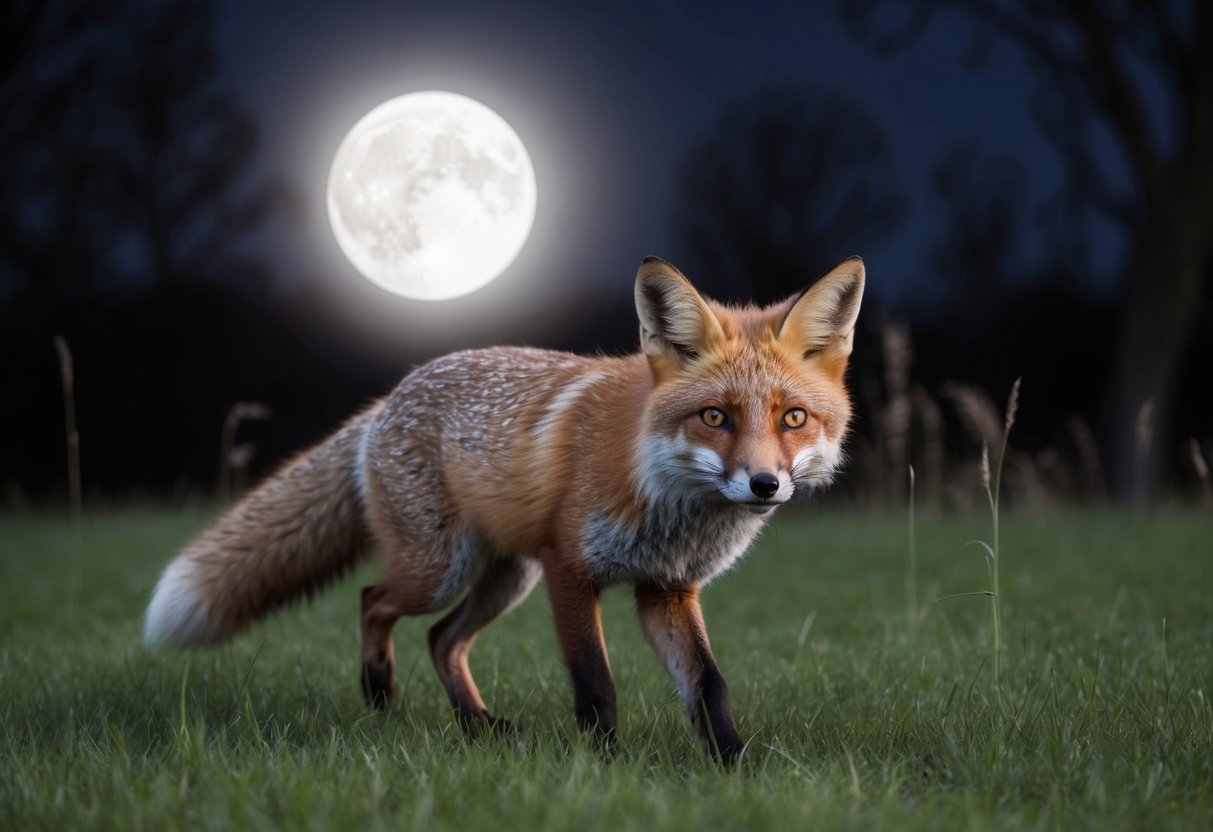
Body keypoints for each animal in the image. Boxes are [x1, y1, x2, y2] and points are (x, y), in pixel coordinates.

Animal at [144, 255, 864, 762]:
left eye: (793, 418)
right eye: (715, 417)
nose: (764, 484)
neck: (664, 497)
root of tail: (385, 401)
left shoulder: (666, 589)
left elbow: (708, 685)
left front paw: (734, 765)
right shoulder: (570, 571)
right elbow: (596, 688)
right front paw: (603, 768)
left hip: (505, 578)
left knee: (440, 640)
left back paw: (478, 725)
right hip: (442, 570)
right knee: (374, 600)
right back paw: (379, 691)